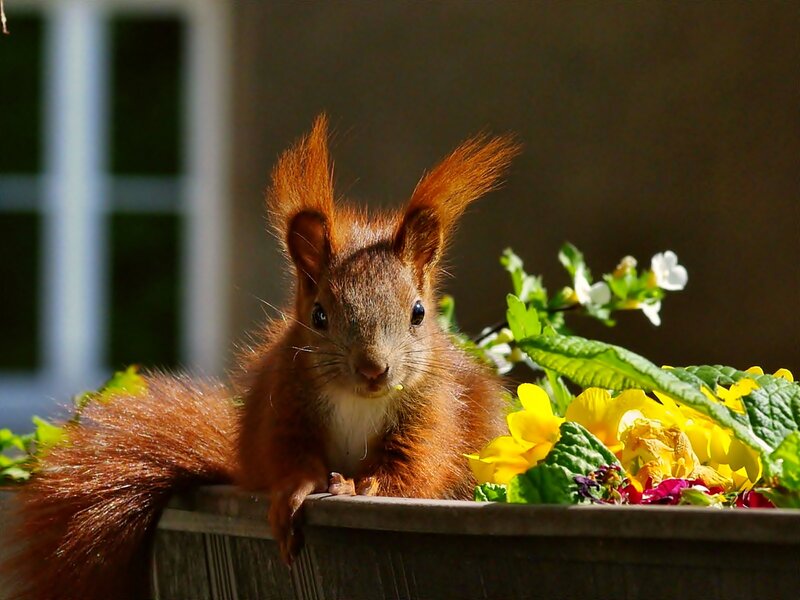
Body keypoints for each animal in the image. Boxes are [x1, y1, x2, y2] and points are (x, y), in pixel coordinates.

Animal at [4, 115, 519, 600]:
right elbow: (291, 461)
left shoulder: (433, 414)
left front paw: (363, 487)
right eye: (319, 315)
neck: (358, 401)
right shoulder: (284, 405)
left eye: (418, 313)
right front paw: (297, 493)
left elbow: (413, 470)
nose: (374, 369)